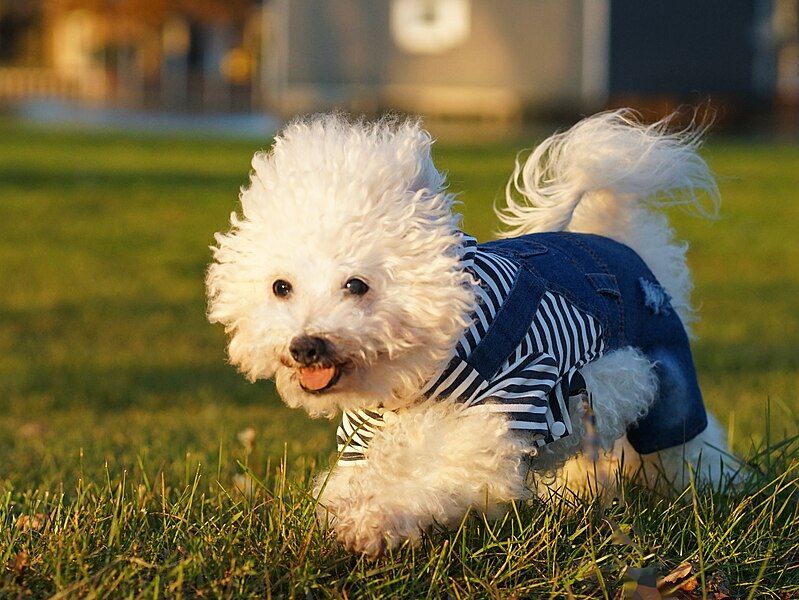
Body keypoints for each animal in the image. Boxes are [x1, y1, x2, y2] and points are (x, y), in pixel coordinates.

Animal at [206, 110, 736, 556]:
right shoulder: (365, 434)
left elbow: (436, 481)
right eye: (281, 287)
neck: (427, 366)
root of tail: (623, 244)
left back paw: (717, 490)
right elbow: (352, 481)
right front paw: (343, 512)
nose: (305, 346)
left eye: (356, 284)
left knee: (689, 444)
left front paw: (374, 523)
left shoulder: (508, 407)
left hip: (668, 385)